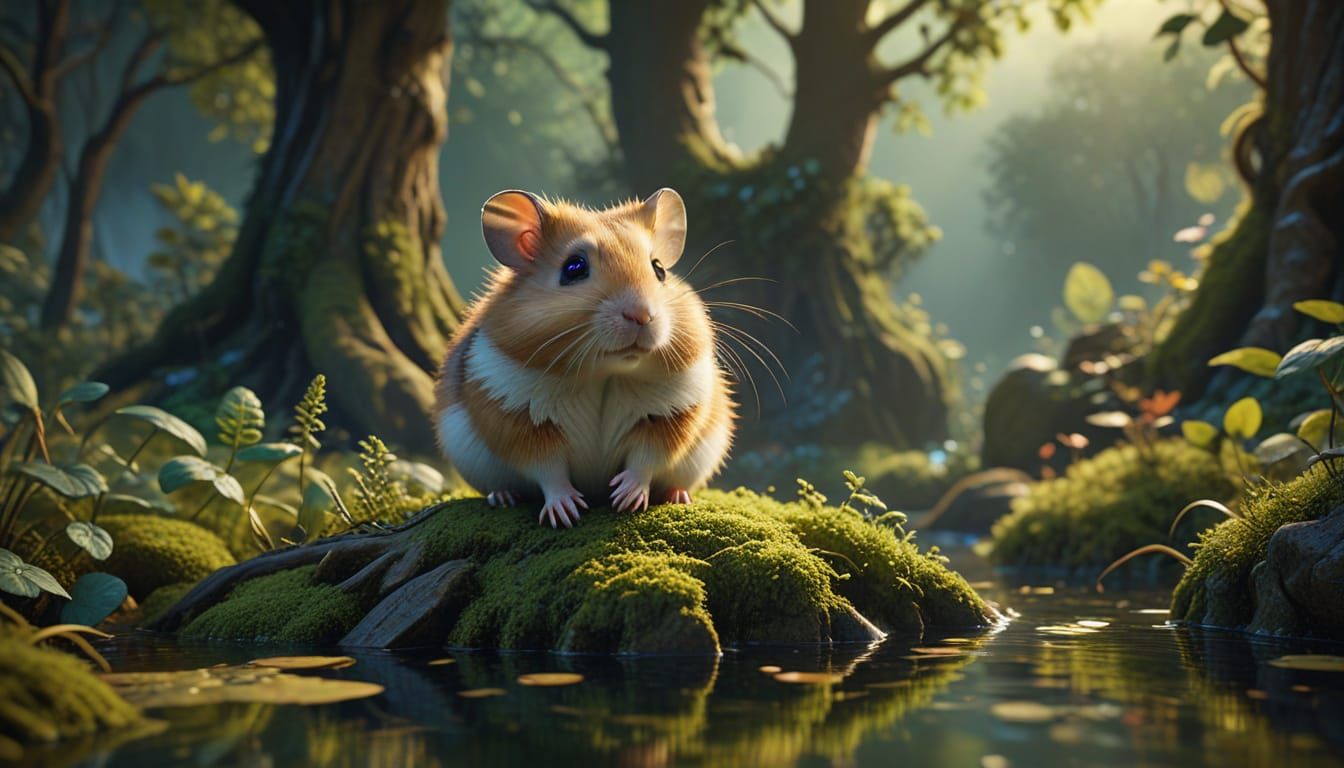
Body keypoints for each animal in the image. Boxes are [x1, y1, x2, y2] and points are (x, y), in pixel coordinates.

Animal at [433, 187, 736, 529]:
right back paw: (504, 497)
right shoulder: (517, 417)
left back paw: (678, 495)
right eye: (573, 268)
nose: (642, 315)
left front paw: (626, 499)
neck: (605, 371)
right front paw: (566, 514)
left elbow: (646, 460)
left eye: (659, 269)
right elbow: (548, 470)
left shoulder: (672, 414)